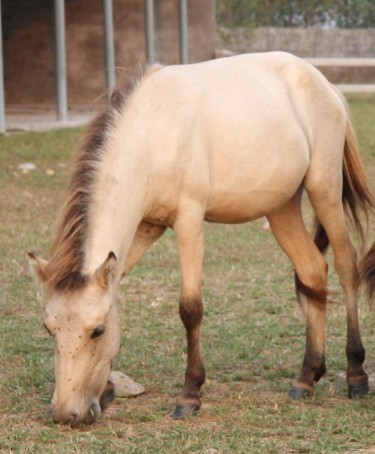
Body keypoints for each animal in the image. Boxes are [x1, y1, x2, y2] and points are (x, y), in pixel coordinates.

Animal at [27, 52, 374, 426]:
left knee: (346, 265)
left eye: (98, 331)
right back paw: (307, 377)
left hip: (324, 190)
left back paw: (356, 374)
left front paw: (190, 394)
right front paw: (106, 390)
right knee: (312, 271)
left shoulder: (189, 220)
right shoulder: (147, 227)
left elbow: (190, 308)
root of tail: (322, 82)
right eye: (49, 328)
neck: (153, 134)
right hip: (282, 208)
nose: (66, 414)